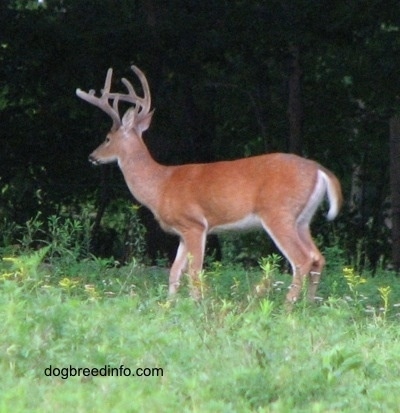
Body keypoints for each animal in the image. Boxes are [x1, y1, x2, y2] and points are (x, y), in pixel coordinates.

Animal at [76, 65, 342, 302]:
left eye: (107, 138)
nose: (91, 157)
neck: (160, 185)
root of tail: (320, 170)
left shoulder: (194, 224)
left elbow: (194, 273)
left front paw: (197, 306)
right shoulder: (182, 232)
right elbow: (174, 272)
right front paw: (169, 307)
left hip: (279, 212)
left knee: (302, 259)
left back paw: (288, 307)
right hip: (302, 219)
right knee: (318, 257)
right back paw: (308, 305)